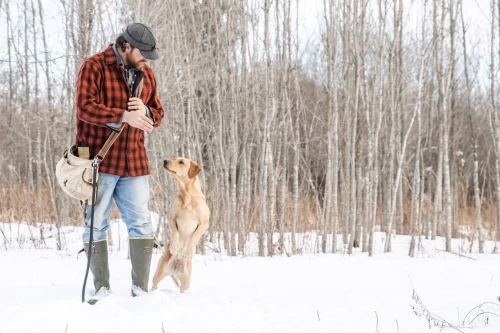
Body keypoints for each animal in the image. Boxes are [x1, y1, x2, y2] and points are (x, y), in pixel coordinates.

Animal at [150, 158, 209, 290]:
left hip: (186, 282)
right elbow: (175, 234)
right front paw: (174, 247)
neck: (187, 196)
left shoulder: (204, 224)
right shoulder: (172, 219)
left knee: (183, 288)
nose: (165, 160)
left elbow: (194, 237)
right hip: (159, 273)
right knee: (154, 283)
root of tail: (174, 269)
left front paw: (188, 252)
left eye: (181, 162)